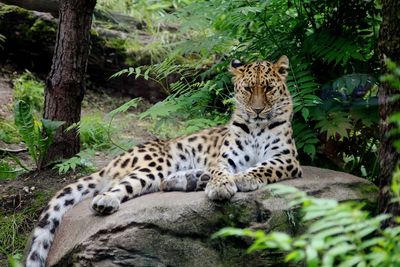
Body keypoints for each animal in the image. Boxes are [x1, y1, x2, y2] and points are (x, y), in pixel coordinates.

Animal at [26, 55, 302, 266]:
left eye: (268, 88)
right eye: (247, 89)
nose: (257, 110)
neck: (257, 127)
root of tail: (113, 161)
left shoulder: (287, 160)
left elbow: (264, 166)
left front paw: (243, 178)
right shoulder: (225, 158)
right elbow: (222, 171)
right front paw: (221, 186)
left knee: (159, 184)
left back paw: (195, 179)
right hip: (156, 163)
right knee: (123, 185)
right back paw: (107, 201)